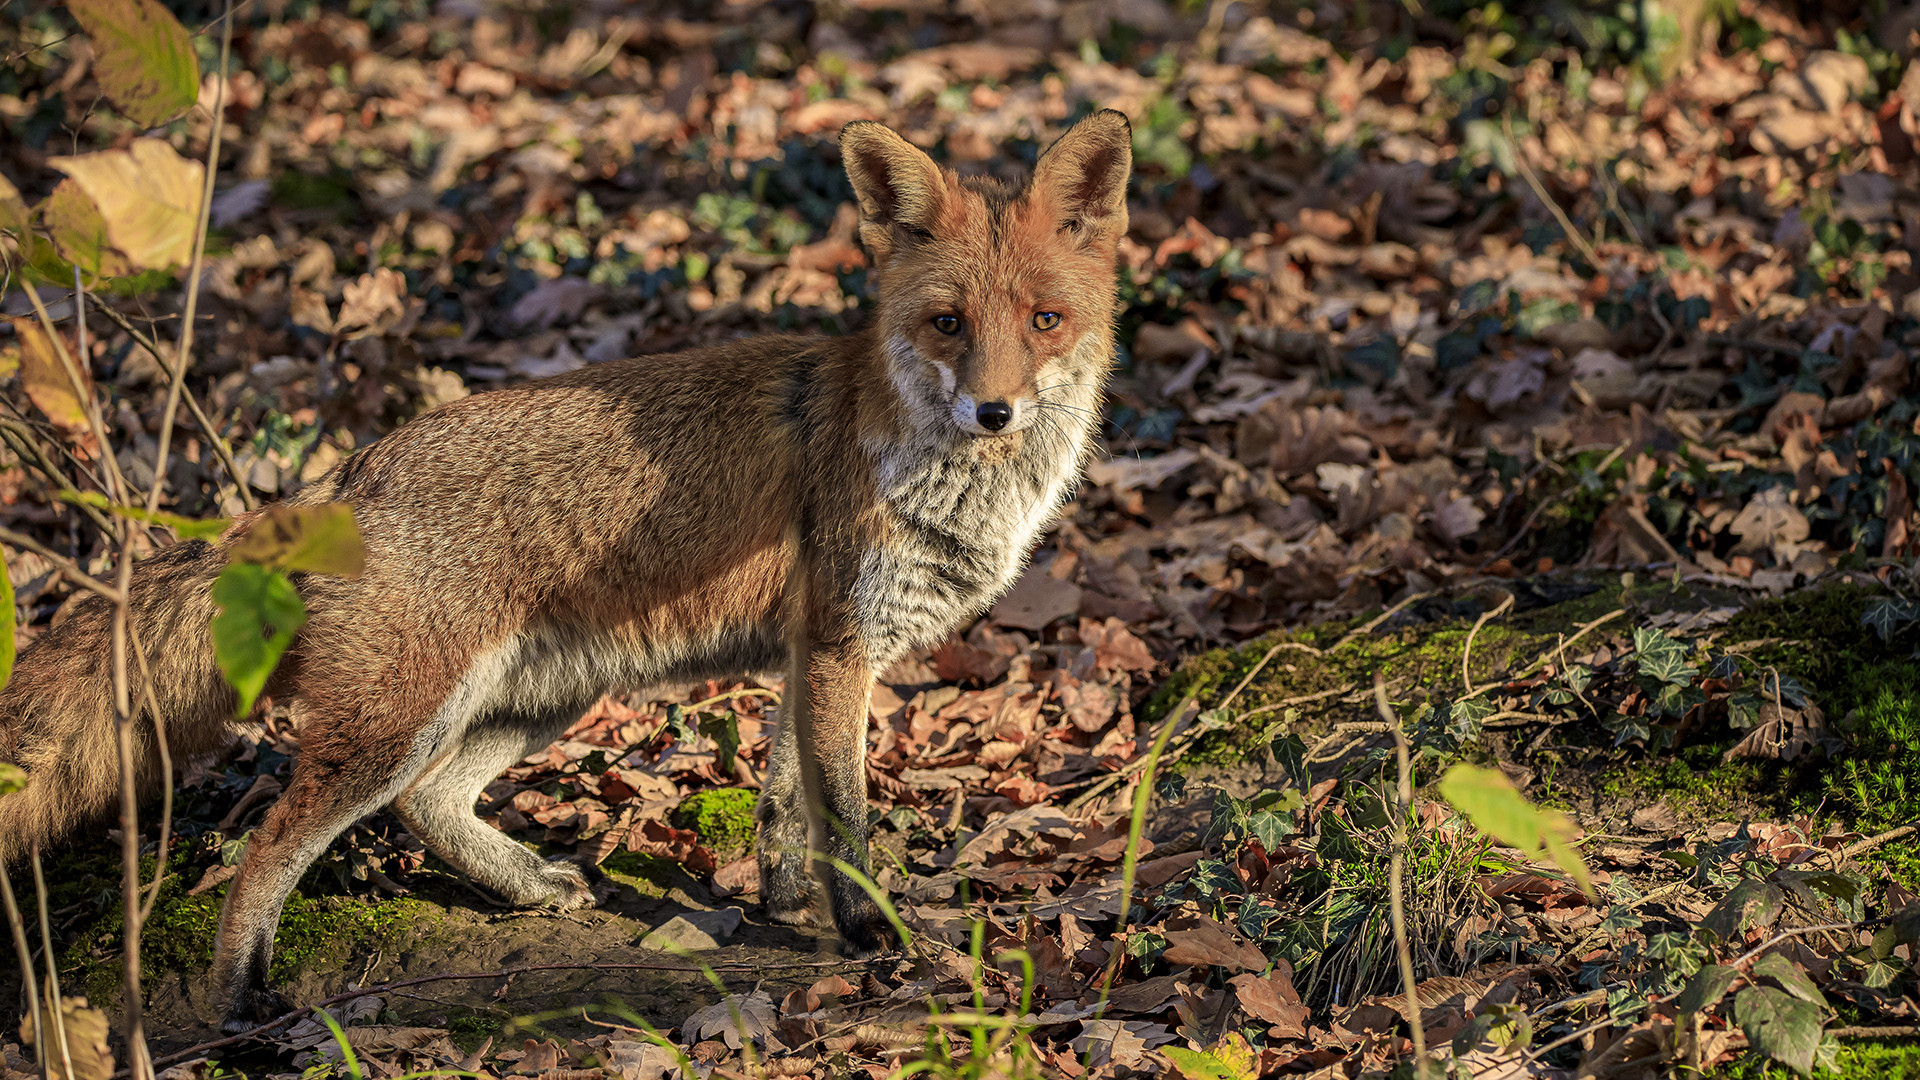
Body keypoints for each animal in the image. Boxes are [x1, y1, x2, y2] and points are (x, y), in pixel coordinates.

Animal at [0, 109, 1128, 1022]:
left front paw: (779, 903)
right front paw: (872, 935)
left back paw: (528, 885)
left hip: (537, 696)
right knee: (274, 850)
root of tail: (349, 473)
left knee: (428, 806)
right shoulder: (843, 644)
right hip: (396, 724)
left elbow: (781, 803)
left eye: (1045, 322)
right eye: (946, 323)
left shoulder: (813, 648)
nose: (995, 410)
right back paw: (240, 1000)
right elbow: (844, 817)